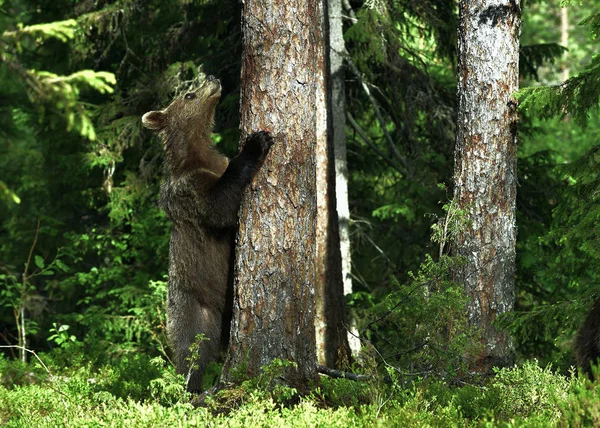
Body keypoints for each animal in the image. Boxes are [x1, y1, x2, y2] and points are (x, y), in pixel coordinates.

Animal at [142, 74, 274, 392]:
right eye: (189, 94)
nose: (212, 78)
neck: (197, 154)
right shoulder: (191, 191)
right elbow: (220, 206)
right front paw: (256, 143)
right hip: (191, 307)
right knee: (193, 351)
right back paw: (191, 387)